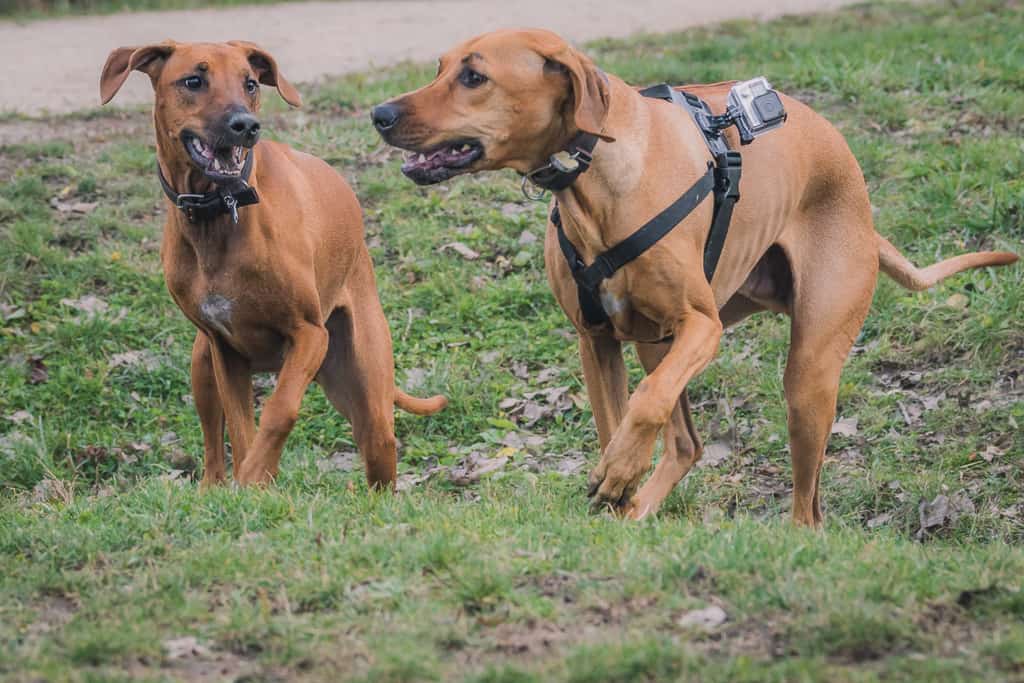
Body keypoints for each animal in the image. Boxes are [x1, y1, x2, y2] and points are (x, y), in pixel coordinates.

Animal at [98, 41, 444, 485]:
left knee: (376, 448)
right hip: (201, 361)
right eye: (193, 81)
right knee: (213, 443)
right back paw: (215, 486)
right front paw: (249, 483)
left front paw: (252, 479)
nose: (246, 125)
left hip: (367, 387)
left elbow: (281, 411)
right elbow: (241, 428)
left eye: (249, 84)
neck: (220, 208)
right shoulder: (224, 351)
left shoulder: (309, 335)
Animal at [372, 29, 1019, 528]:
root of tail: (864, 209)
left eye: (474, 77)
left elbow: (643, 406)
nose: (379, 114)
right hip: (657, 341)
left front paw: (619, 472)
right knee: (687, 443)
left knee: (806, 508)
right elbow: (617, 419)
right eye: (440, 68)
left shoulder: (702, 328)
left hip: (804, 372)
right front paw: (616, 489)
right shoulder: (596, 339)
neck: (597, 173)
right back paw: (637, 510)